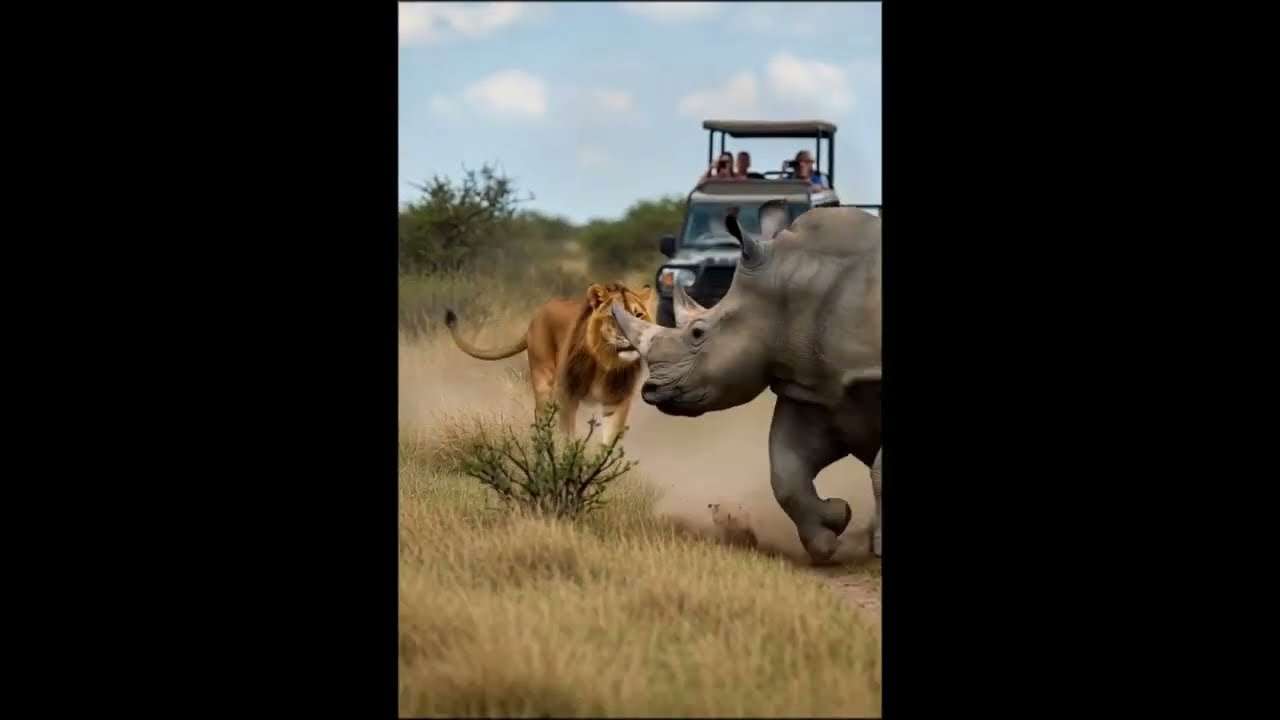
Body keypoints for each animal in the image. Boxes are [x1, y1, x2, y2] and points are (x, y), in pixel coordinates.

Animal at [443, 282, 656, 445]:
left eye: (638, 315)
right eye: (613, 317)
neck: (607, 361)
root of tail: (536, 316)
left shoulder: (617, 400)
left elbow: (609, 440)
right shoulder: (568, 394)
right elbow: (568, 433)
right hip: (543, 378)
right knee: (541, 416)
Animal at [610, 200, 882, 563]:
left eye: (698, 333)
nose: (650, 390)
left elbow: (877, 471)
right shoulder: (815, 390)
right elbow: (785, 471)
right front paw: (831, 529)